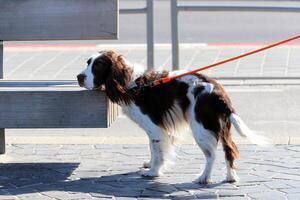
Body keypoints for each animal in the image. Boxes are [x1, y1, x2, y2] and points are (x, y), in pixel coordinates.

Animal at [77, 50, 268, 184]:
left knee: (211, 155)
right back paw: (230, 177)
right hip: (221, 127)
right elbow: (153, 148)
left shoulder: (154, 127)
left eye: (98, 66)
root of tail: (219, 94)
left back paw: (204, 178)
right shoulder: (154, 129)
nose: (79, 77)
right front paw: (149, 164)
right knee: (229, 150)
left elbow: (158, 151)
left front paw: (153, 172)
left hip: (200, 127)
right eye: (88, 63)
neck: (131, 83)